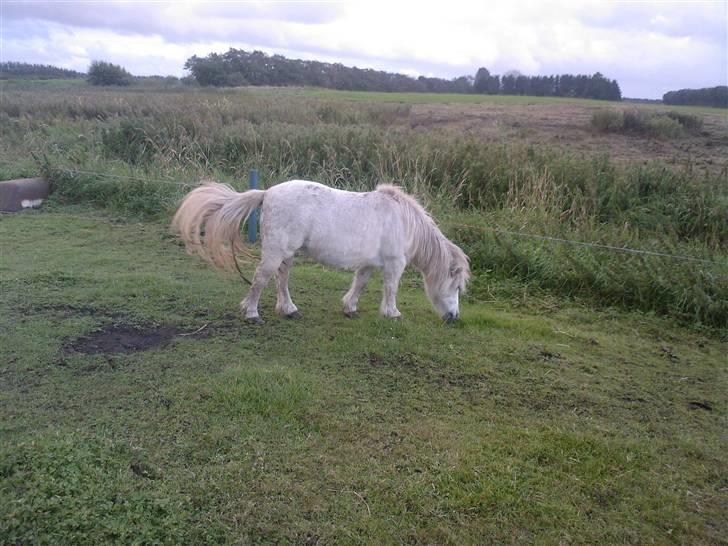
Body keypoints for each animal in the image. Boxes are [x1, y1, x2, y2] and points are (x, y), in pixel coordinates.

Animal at [173, 178, 472, 324]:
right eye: (456, 287)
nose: (455, 318)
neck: (403, 220)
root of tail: (267, 193)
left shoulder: (368, 264)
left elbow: (360, 284)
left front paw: (350, 307)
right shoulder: (394, 264)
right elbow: (391, 289)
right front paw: (393, 314)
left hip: (287, 254)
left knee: (281, 279)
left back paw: (289, 310)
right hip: (275, 252)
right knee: (260, 279)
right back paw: (252, 314)